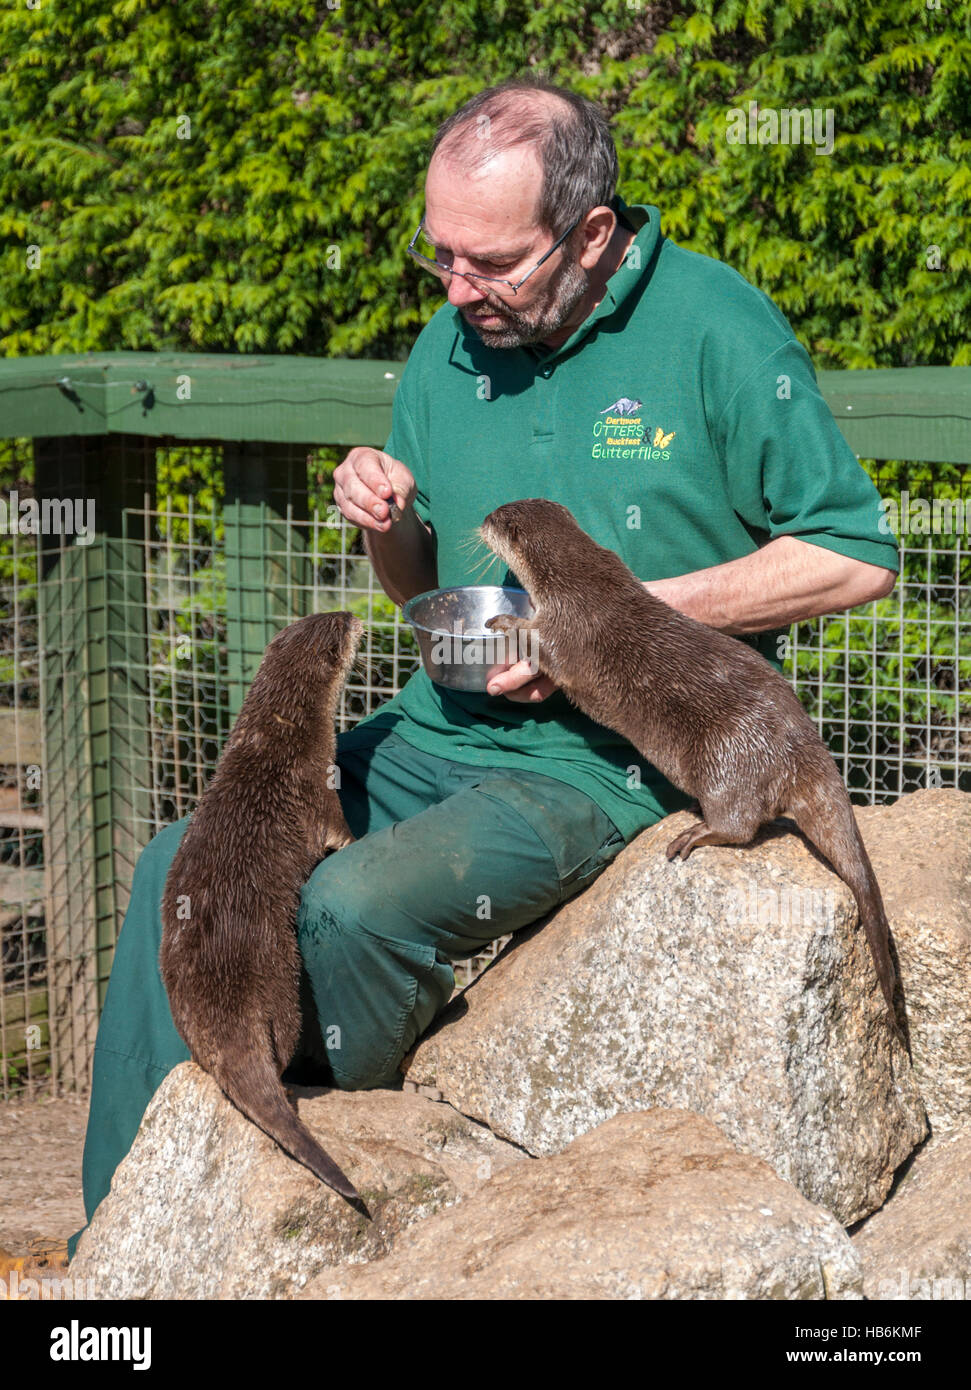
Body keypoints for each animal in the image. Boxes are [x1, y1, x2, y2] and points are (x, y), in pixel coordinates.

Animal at [161, 608, 366, 1206]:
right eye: (343, 625)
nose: (355, 613)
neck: (279, 730)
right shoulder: (317, 784)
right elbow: (339, 833)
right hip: (281, 984)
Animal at [483, 494, 905, 1045]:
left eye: (497, 517)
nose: (481, 521)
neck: (579, 583)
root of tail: (804, 747)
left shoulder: (567, 632)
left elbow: (540, 645)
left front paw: (502, 624)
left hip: (726, 758)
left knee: (742, 825)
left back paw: (696, 832)